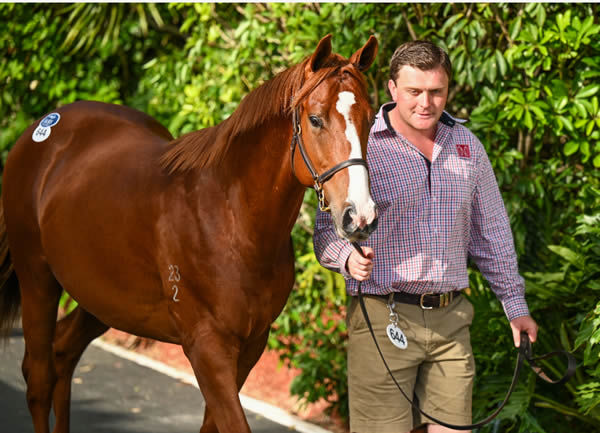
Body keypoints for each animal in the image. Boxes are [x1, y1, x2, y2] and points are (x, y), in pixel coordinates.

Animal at [0, 34, 378, 432]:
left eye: (369, 119)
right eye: (316, 119)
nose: (360, 215)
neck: (230, 218)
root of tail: (41, 131)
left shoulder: (251, 345)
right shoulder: (206, 348)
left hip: (101, 300)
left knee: (63, 352)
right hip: (38, 281)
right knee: (38, 379)